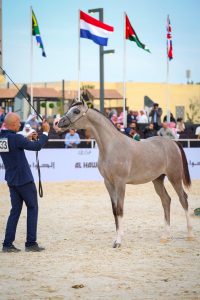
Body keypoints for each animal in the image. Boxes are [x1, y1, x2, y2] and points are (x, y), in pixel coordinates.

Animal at [57, 99, 194, 247]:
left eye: (76, 111)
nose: (59, 123)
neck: (111, 146)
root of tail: (173, 143)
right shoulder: (108, 183)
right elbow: (114, 210)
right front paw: (116, 238)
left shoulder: (120, 183)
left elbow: (120, 209)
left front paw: (118, 241)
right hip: (157, 180)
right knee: (166, 201)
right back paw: (165, 236)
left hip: (175, 177)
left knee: (183, 199)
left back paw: (190, 234)